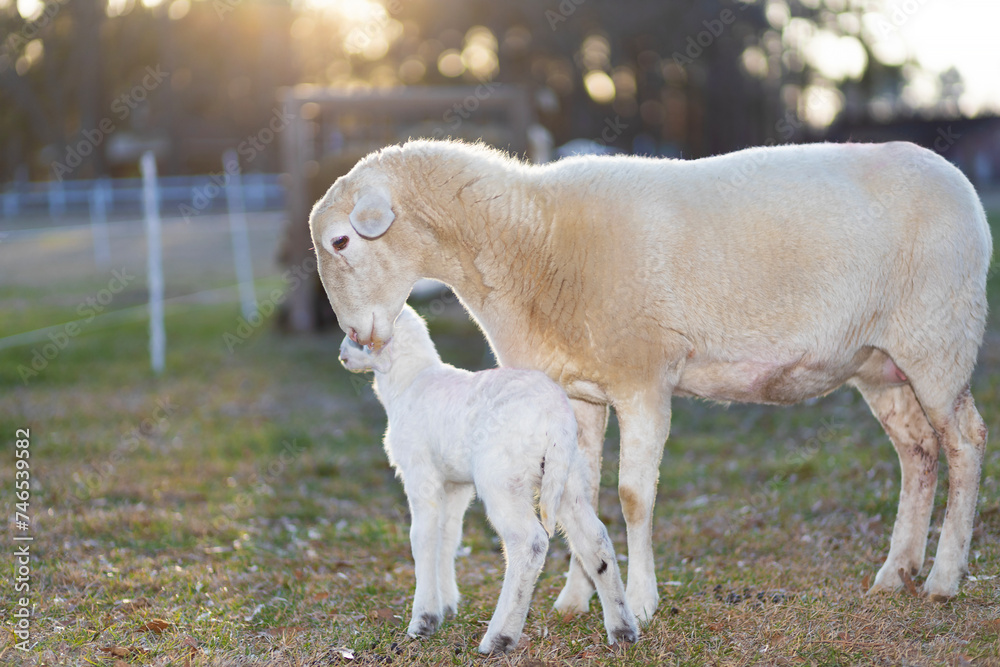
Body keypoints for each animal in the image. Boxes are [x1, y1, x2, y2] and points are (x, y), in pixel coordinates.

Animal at [338, 304, 639, 654]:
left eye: (356, 336)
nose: (342, 354)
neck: (409, 380)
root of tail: (556, 416)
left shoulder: (420, 472)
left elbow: (423, 538)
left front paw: (424, 620)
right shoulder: (455, 484)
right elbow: (447, 536)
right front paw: (447, 605)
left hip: (502, 479)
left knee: (530, 543)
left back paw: (499, 637)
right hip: (568, 477)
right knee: (596, 540)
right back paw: (622, 630)